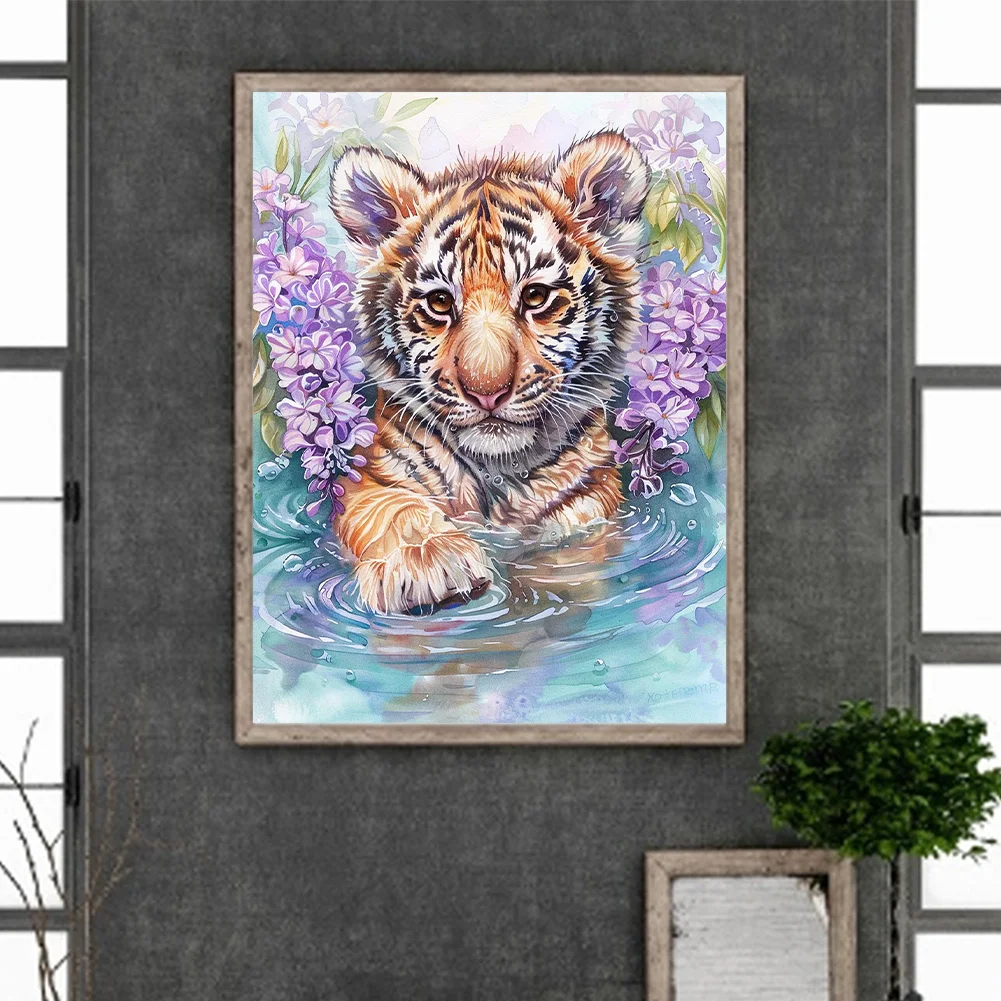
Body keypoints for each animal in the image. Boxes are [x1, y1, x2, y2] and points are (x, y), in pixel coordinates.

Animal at [327, 130, 652, 615]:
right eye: (440, 302)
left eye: (536, 297)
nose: (487, 392)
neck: (495, 474)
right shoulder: (371, 477)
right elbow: (392, 507)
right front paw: (424, 558)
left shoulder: (591, 500)